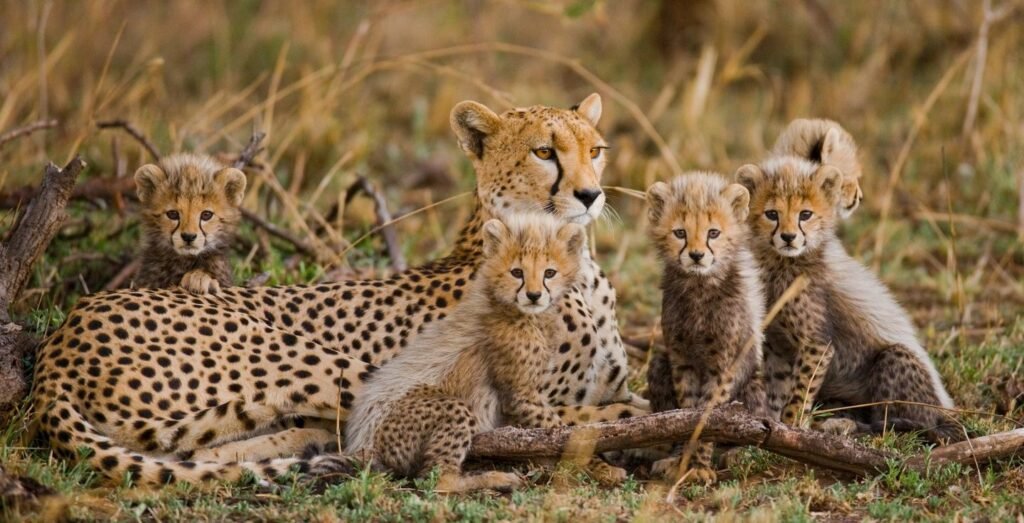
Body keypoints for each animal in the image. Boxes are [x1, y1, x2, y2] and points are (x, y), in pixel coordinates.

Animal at [643, 172, 766, 484]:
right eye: (680, 233)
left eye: (713, 233)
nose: (697, 256)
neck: (699, 287)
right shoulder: (680, 359)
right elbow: (686, 412)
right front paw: (683, 461)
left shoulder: (722, 365)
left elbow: (708, 415)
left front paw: (698, 465)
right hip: (659, 363)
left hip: (754, 383)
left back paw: (737, 453)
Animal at [736, 156, 960, 442]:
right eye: (772, 214)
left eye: (805, 214)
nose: (788, 237)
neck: (782, 263)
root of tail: (946, 410)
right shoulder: (779, 345)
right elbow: (778, 388)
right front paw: (773, 426)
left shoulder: (817, 345)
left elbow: (800, 393)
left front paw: (792, 427)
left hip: (895, 362)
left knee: (896, 424)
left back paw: (845, 426)